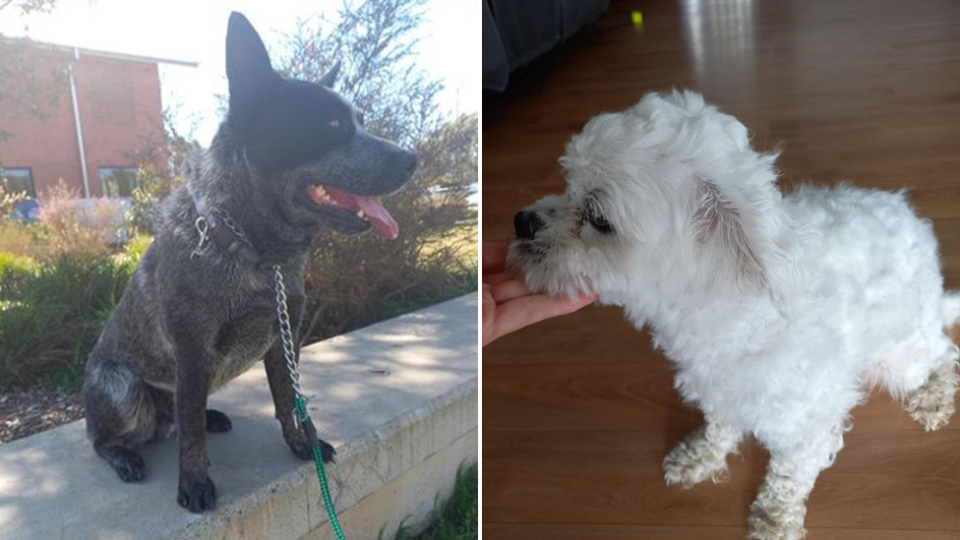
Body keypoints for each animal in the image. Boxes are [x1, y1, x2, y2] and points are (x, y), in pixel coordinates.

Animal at [512, 89, 960, 540]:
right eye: (567, 183)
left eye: (599, 219)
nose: (521, 221)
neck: (720, 304)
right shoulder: (719, 388)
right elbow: (719, 427)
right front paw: (699, 457)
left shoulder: (806, 430)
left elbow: (787, 480)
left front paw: (774, 521)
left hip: (902, 355)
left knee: (943, 354)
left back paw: (933, 397)